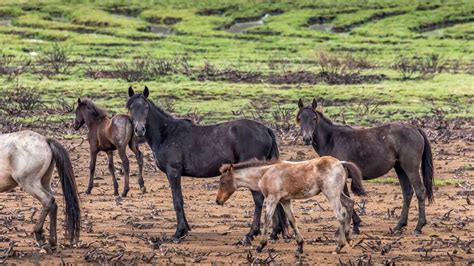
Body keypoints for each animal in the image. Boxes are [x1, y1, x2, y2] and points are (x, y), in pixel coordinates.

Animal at [126, 86, 286, 242]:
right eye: (131, 107)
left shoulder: (173, 172)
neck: (166, 133)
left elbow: (177, 201)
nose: (139, 130)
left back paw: (251, 234)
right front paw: (185, 229)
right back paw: (274, 233)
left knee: (258, 200)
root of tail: (265, 129)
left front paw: (179, 233)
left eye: (146, 107)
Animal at [216, 157, 366, 255]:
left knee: (340, 215)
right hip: (338, 193)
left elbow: (267, 219)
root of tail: (340, 162)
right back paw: (349, 239)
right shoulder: (285, 201)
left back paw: (339, 247)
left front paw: (261, 246)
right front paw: (300, 246)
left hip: (331, 194)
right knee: (349, 204)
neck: (264, 173)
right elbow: (292, 220)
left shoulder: (272, 199)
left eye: (223, 182)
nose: (218, 201)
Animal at [298, 98, 436, 234]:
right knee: (407, 192)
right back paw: (399, 226)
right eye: (300, 118)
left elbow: (345, 199)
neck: (331, 140)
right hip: (400, 168)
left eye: (314, 118)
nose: (307, 138)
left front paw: (353, 225)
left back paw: (419, 226)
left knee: (420, 191)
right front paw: (355, 224)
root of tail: (415, 128)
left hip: (411, 168)